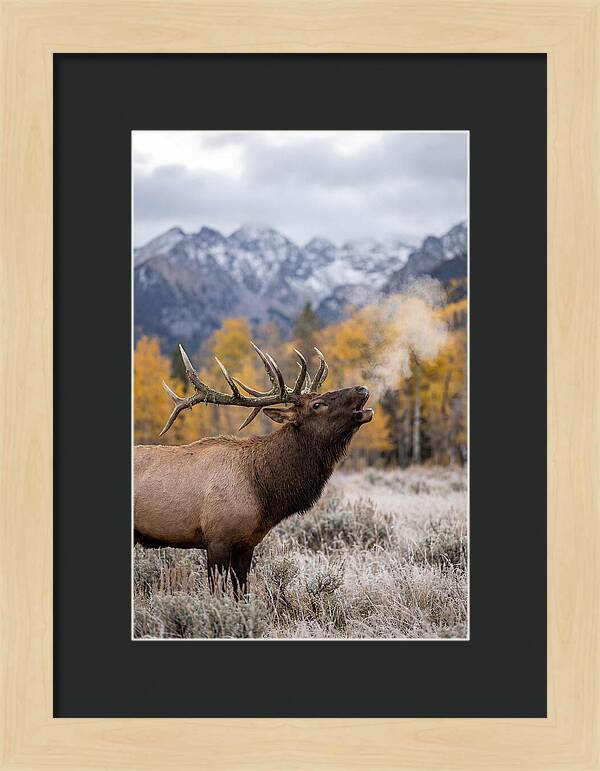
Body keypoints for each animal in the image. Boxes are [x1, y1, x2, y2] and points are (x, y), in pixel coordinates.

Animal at [134, 341, 373, 597]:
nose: (362, 388)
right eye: (317, 404)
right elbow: (217, 593)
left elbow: (242, 592)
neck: (263, 493)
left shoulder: (246, 544)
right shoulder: (217, 539)